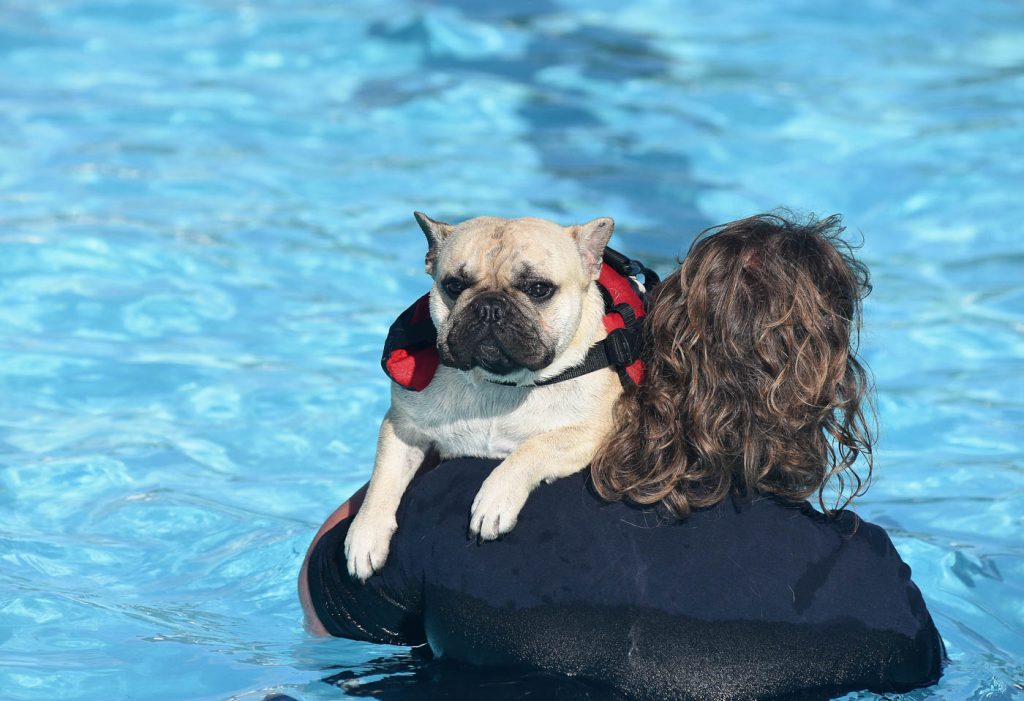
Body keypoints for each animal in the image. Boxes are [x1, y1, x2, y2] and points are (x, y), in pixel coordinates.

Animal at [344, 211, 618, 581]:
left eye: (538, 289)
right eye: (453, 286)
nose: (489, 307)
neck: (499, 384)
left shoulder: (594, 432)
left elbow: (535, 447)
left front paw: (495, 499)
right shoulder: (403, 426)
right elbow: (383, 479)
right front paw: (365, 534)